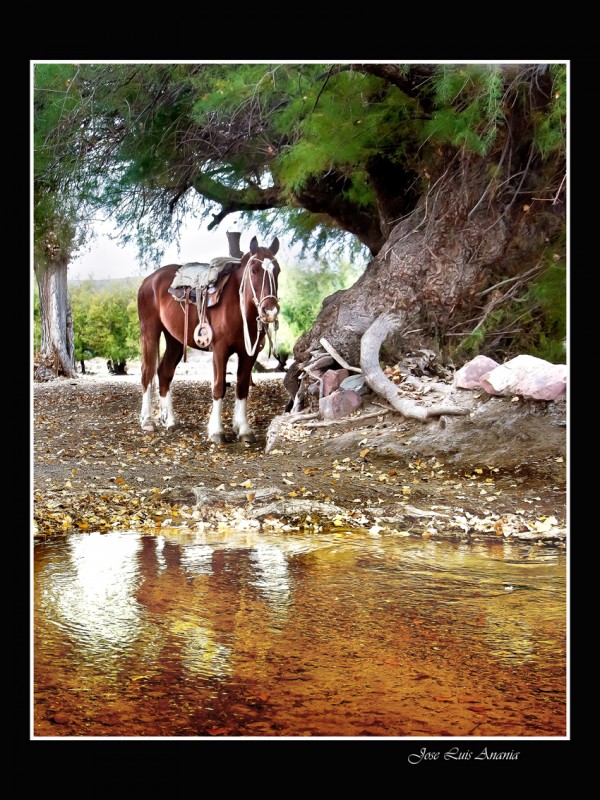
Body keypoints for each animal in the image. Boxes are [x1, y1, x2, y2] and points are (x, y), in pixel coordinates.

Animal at [138, 234, 282, 444]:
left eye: (277, 270)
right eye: (254, 270)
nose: (269, 310)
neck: (238, 305)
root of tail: (149, 280)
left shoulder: (249, 353)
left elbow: (242, 387)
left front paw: (243, 429)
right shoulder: (220, 350)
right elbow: (219, 387)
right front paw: (216, 431)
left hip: (174, 340)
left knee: (164, 372)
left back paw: (170, 420)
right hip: (149, 332)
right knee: (147, 373)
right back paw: (148, 421)